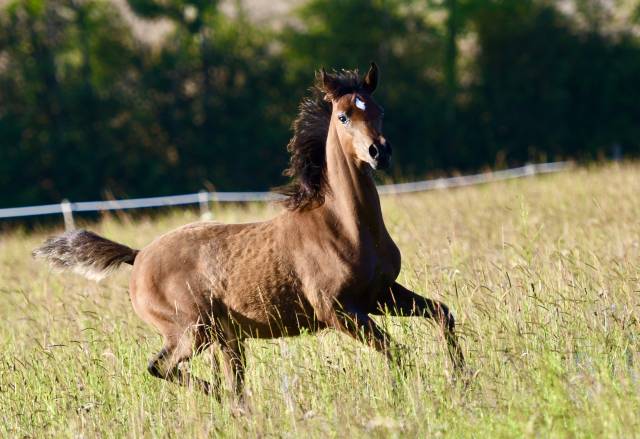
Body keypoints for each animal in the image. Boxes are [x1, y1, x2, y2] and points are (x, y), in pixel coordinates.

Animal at [33, 63, 464, 404]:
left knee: (226, 380)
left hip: (227, 338)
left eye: (379, 110)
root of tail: (138, 256)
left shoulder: (380, 294)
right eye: (343, 116)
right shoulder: (339, 311)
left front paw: (461, 379)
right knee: (162, 367)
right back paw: (231, 404)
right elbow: (398, 352)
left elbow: (442, 315)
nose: (379, 152)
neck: (345, 227)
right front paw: (414, 395)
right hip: (193, 332)